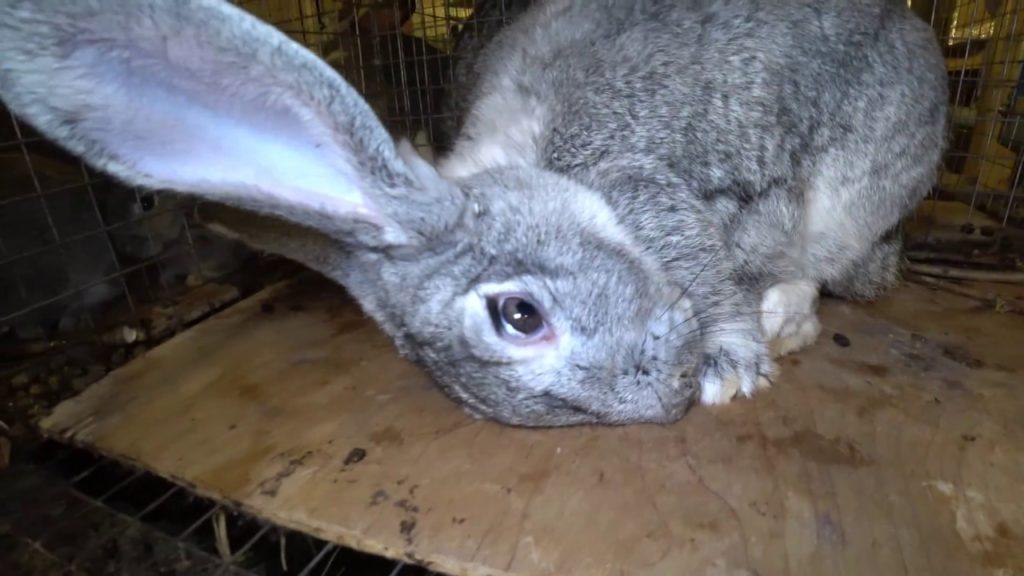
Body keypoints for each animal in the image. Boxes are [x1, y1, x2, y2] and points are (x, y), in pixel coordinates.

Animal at [0, 0, 947, 426]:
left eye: (517, 314)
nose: (665, 401)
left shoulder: (651, 183)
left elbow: (711, 263)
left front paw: (731, 365)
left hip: (856, 199)